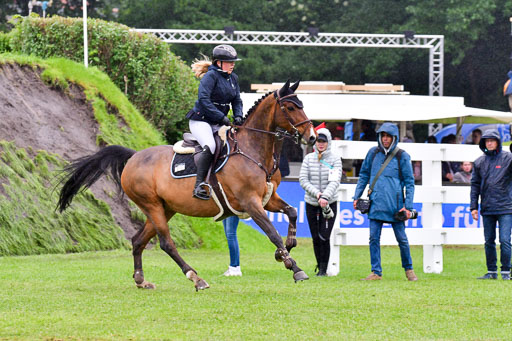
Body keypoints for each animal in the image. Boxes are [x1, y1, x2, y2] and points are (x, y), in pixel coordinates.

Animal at [57, 79, 316, 290]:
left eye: (302, 104)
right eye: (290, 107)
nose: (312, 137)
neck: (252, 150)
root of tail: (133, 156)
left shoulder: (267, 198)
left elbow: (292, 212)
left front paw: (288, 247)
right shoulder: (250, 202)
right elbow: (272, 232)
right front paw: (294, 267)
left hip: (165, 208)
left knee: (139, 240)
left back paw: (141, 280)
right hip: (151, 205)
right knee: (166, 243)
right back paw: (195, 278)